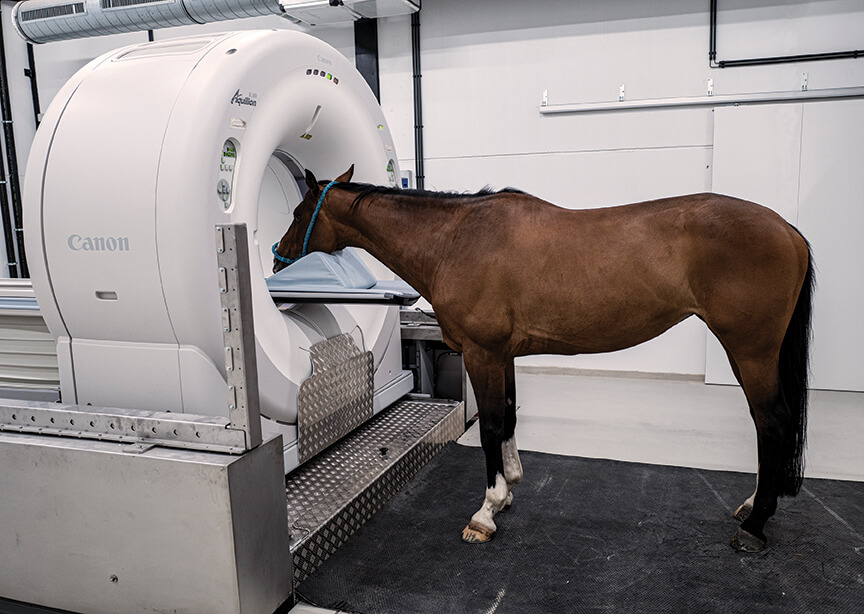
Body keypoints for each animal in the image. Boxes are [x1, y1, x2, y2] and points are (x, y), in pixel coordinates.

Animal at [276, 166, 816, 556]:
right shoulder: (503, 355)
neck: (455, 240)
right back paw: (752, 506)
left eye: (301, 210)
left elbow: (491, 426)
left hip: (750, 349)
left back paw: (755, 524)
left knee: (772, 422)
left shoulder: (482, 353)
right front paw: (510, 488)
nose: (279, 253)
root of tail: (787, 230)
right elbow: (509, 416)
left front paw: (486, 512)